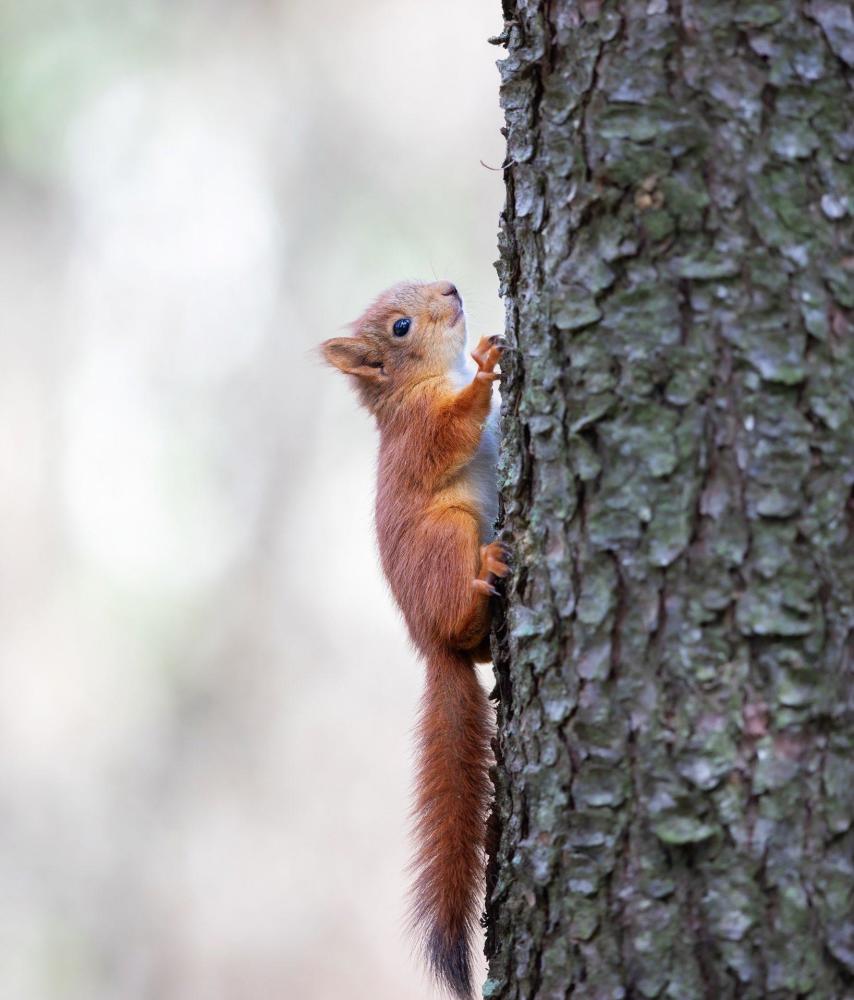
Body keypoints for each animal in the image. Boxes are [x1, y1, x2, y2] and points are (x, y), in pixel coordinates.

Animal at [320, 282, 508, 1000]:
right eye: (400, 327)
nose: (452, 288)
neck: (424, 383)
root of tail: (433, 649)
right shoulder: (423, 433)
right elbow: (454, 430)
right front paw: (486, 369)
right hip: (448, 535)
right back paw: (487, 574)